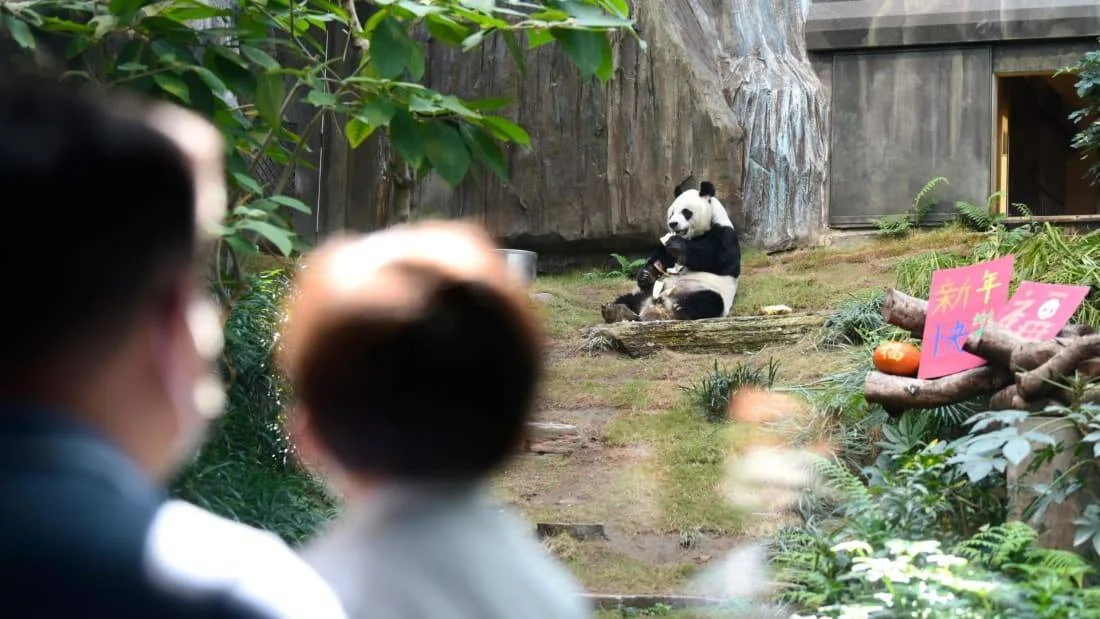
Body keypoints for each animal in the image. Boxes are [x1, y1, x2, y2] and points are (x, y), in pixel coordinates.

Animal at [601, 179, 741, 323]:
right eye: (672, 213)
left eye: (686, 212)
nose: (673, 223)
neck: (693, 236)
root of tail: (661, 309)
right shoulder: (665, 248)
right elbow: (660, 258)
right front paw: (646, 274)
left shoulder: (724, 234)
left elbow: (720, 259)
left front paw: (677, 246)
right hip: (647, 293)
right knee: (630, 298)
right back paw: (616, 310)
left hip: (706, 290)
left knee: (709, 302)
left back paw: (682, 310)